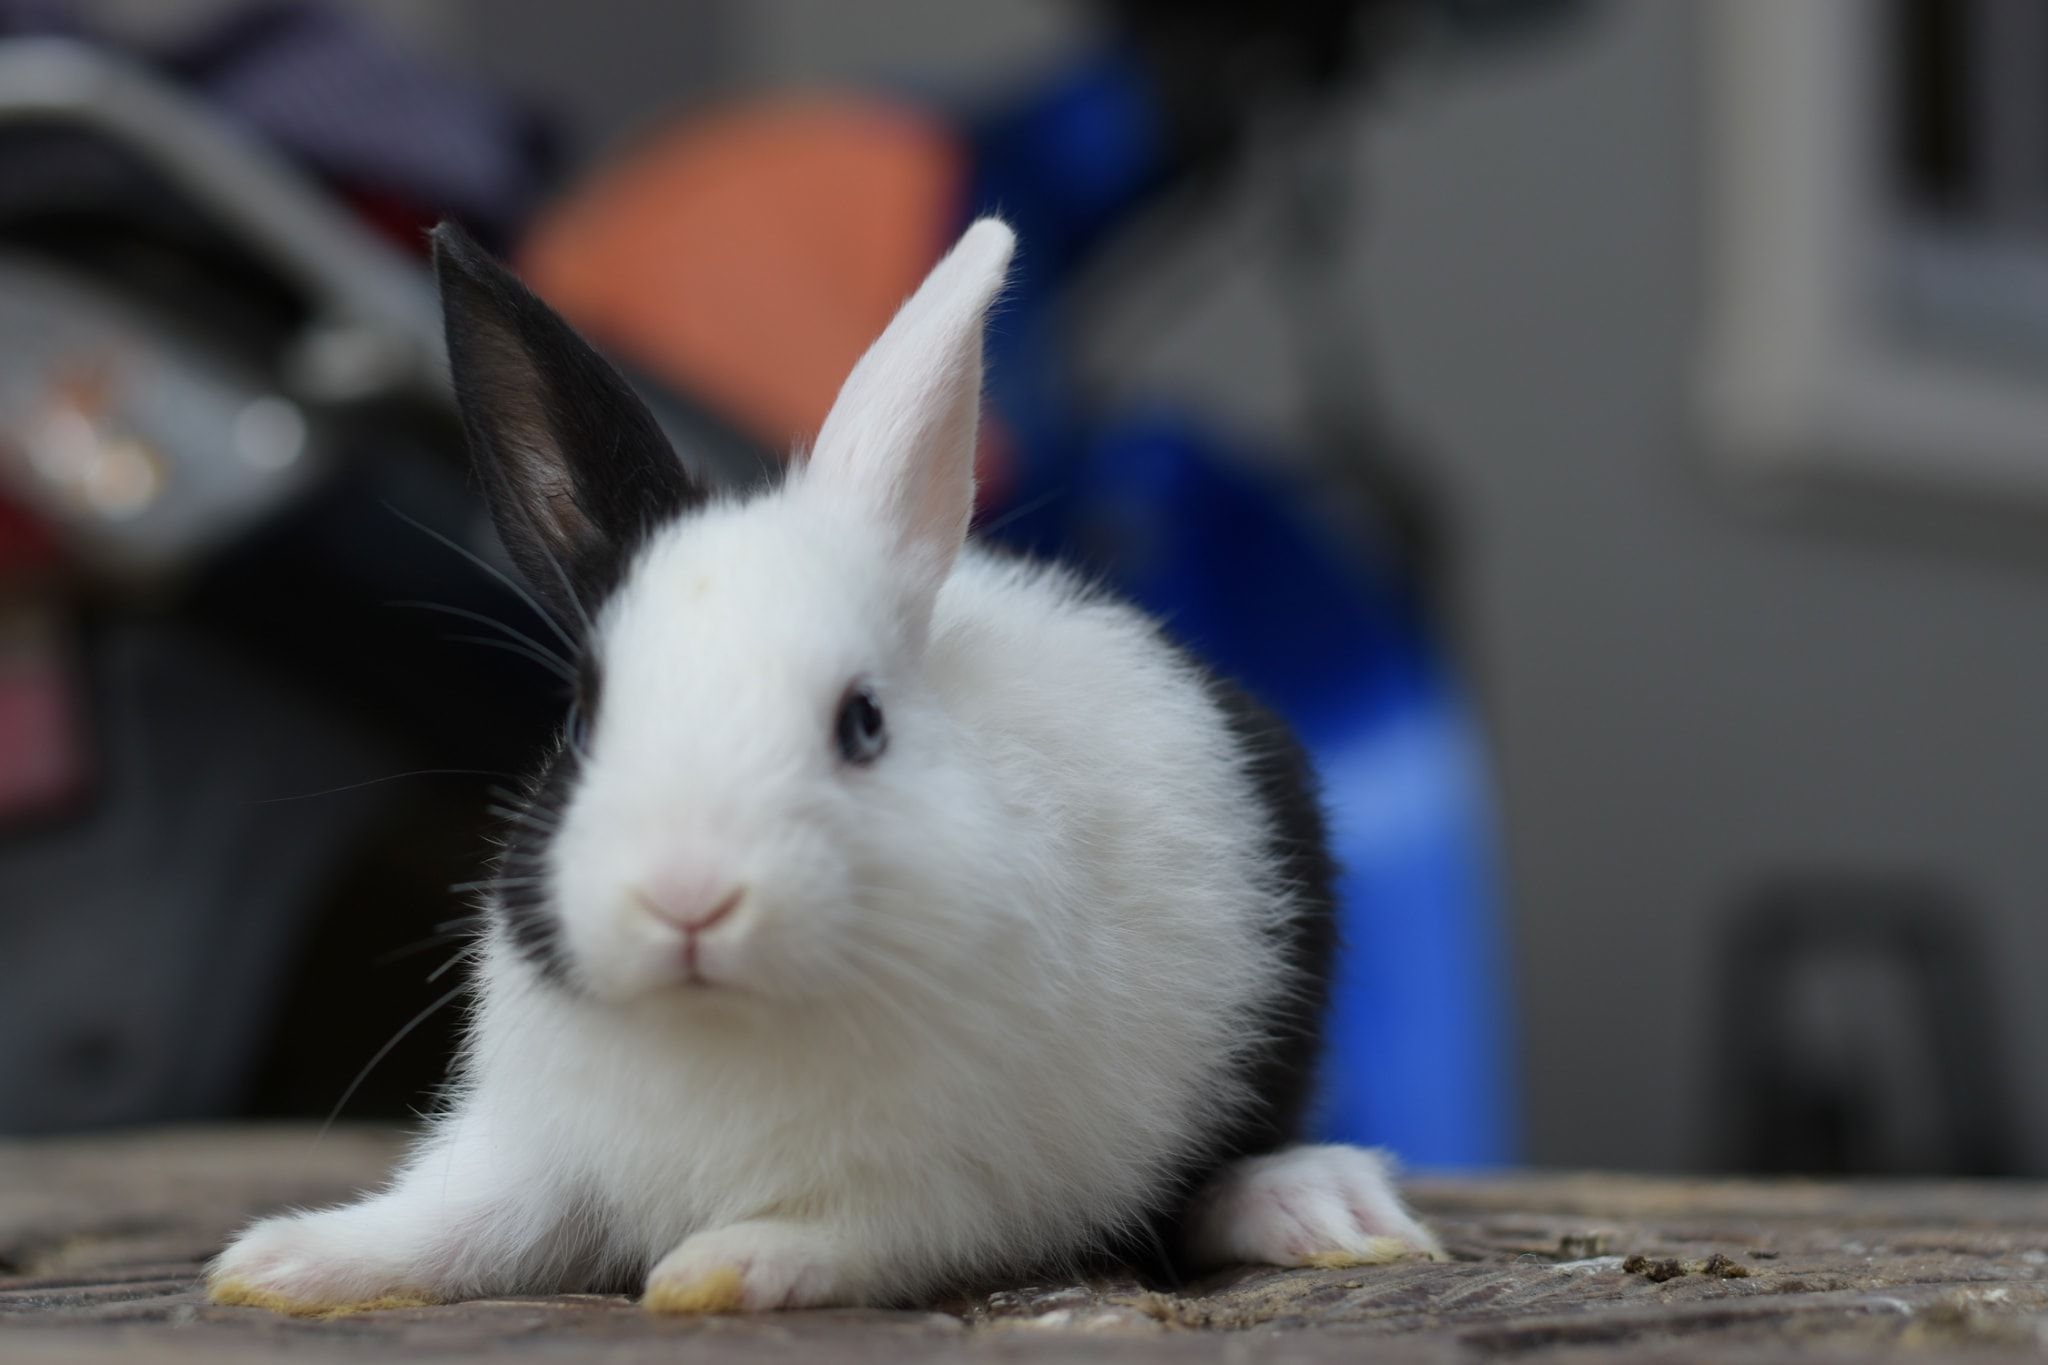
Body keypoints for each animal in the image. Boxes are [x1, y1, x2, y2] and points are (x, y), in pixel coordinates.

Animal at [207, 216, 1443, 1316]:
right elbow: (460, 1222)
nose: (687, 897)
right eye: (583, 717)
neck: (724, 1021)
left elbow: (855, 1236)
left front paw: (716, 1270)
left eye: (861, 724)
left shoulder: (963, 1185)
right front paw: (282, 1265)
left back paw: (1317, 1207)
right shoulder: (534, 1153)